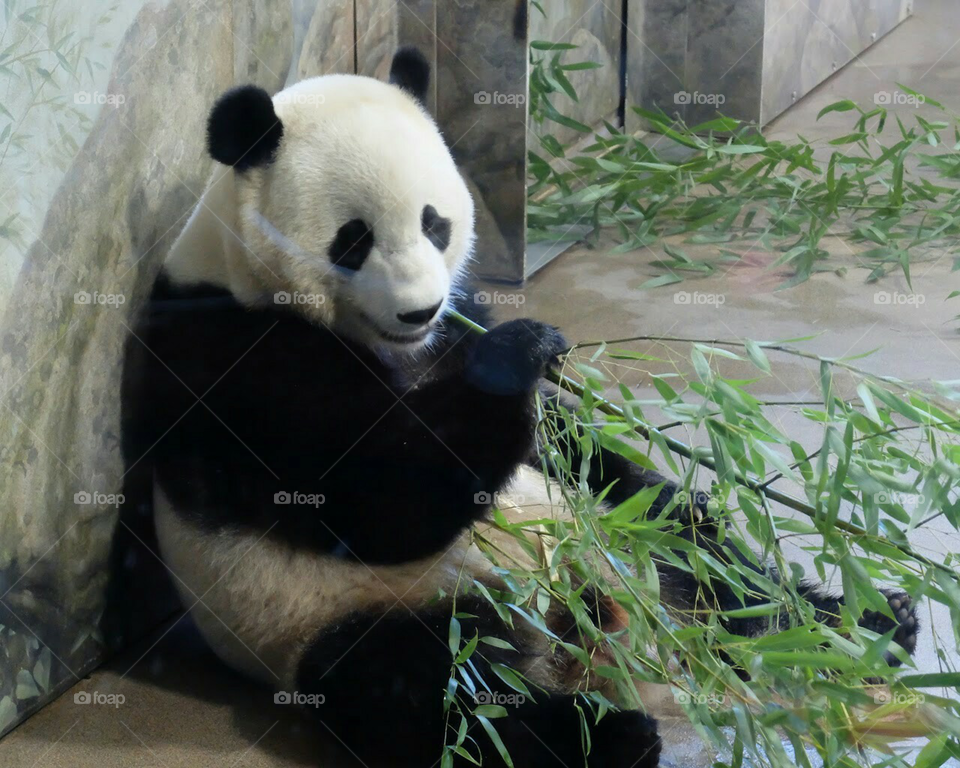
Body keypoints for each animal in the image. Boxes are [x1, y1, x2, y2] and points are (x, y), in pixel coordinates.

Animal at [121, 47, 920, 768]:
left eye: (434, 224)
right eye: (353, 239)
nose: (418, 309)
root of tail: (595, 633)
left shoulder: (458, 321)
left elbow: (569, 442)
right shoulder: (233, 358)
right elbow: (379, 499)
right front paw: (520, 351)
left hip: (618, 533)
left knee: (698, 549)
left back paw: (860, 623)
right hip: (346, 613)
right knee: (430, 689)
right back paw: (608, 739)